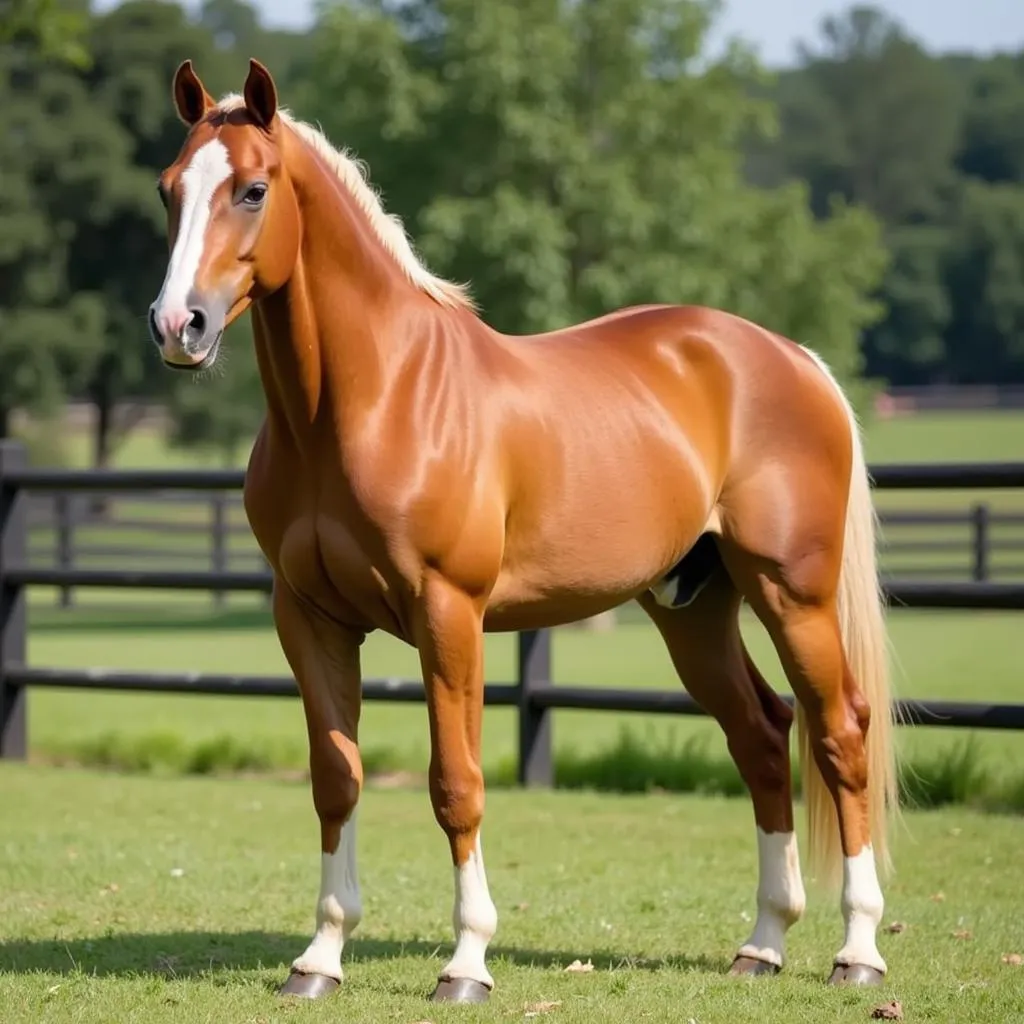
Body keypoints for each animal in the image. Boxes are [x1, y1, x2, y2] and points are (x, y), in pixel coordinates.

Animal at [148, 59, 901, 1003]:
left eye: (252, 189)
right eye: (170, 189)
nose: (178, 326)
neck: (373, 398)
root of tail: (795, 360)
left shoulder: (449, 614)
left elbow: (456, 784)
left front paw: (466, 963)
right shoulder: (309, 618)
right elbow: (336, 780)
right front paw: (318, 959)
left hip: (791, 594)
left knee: (840, 733)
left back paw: (858, 951)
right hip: (693, 607)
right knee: (762, 735)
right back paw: (761, 945)